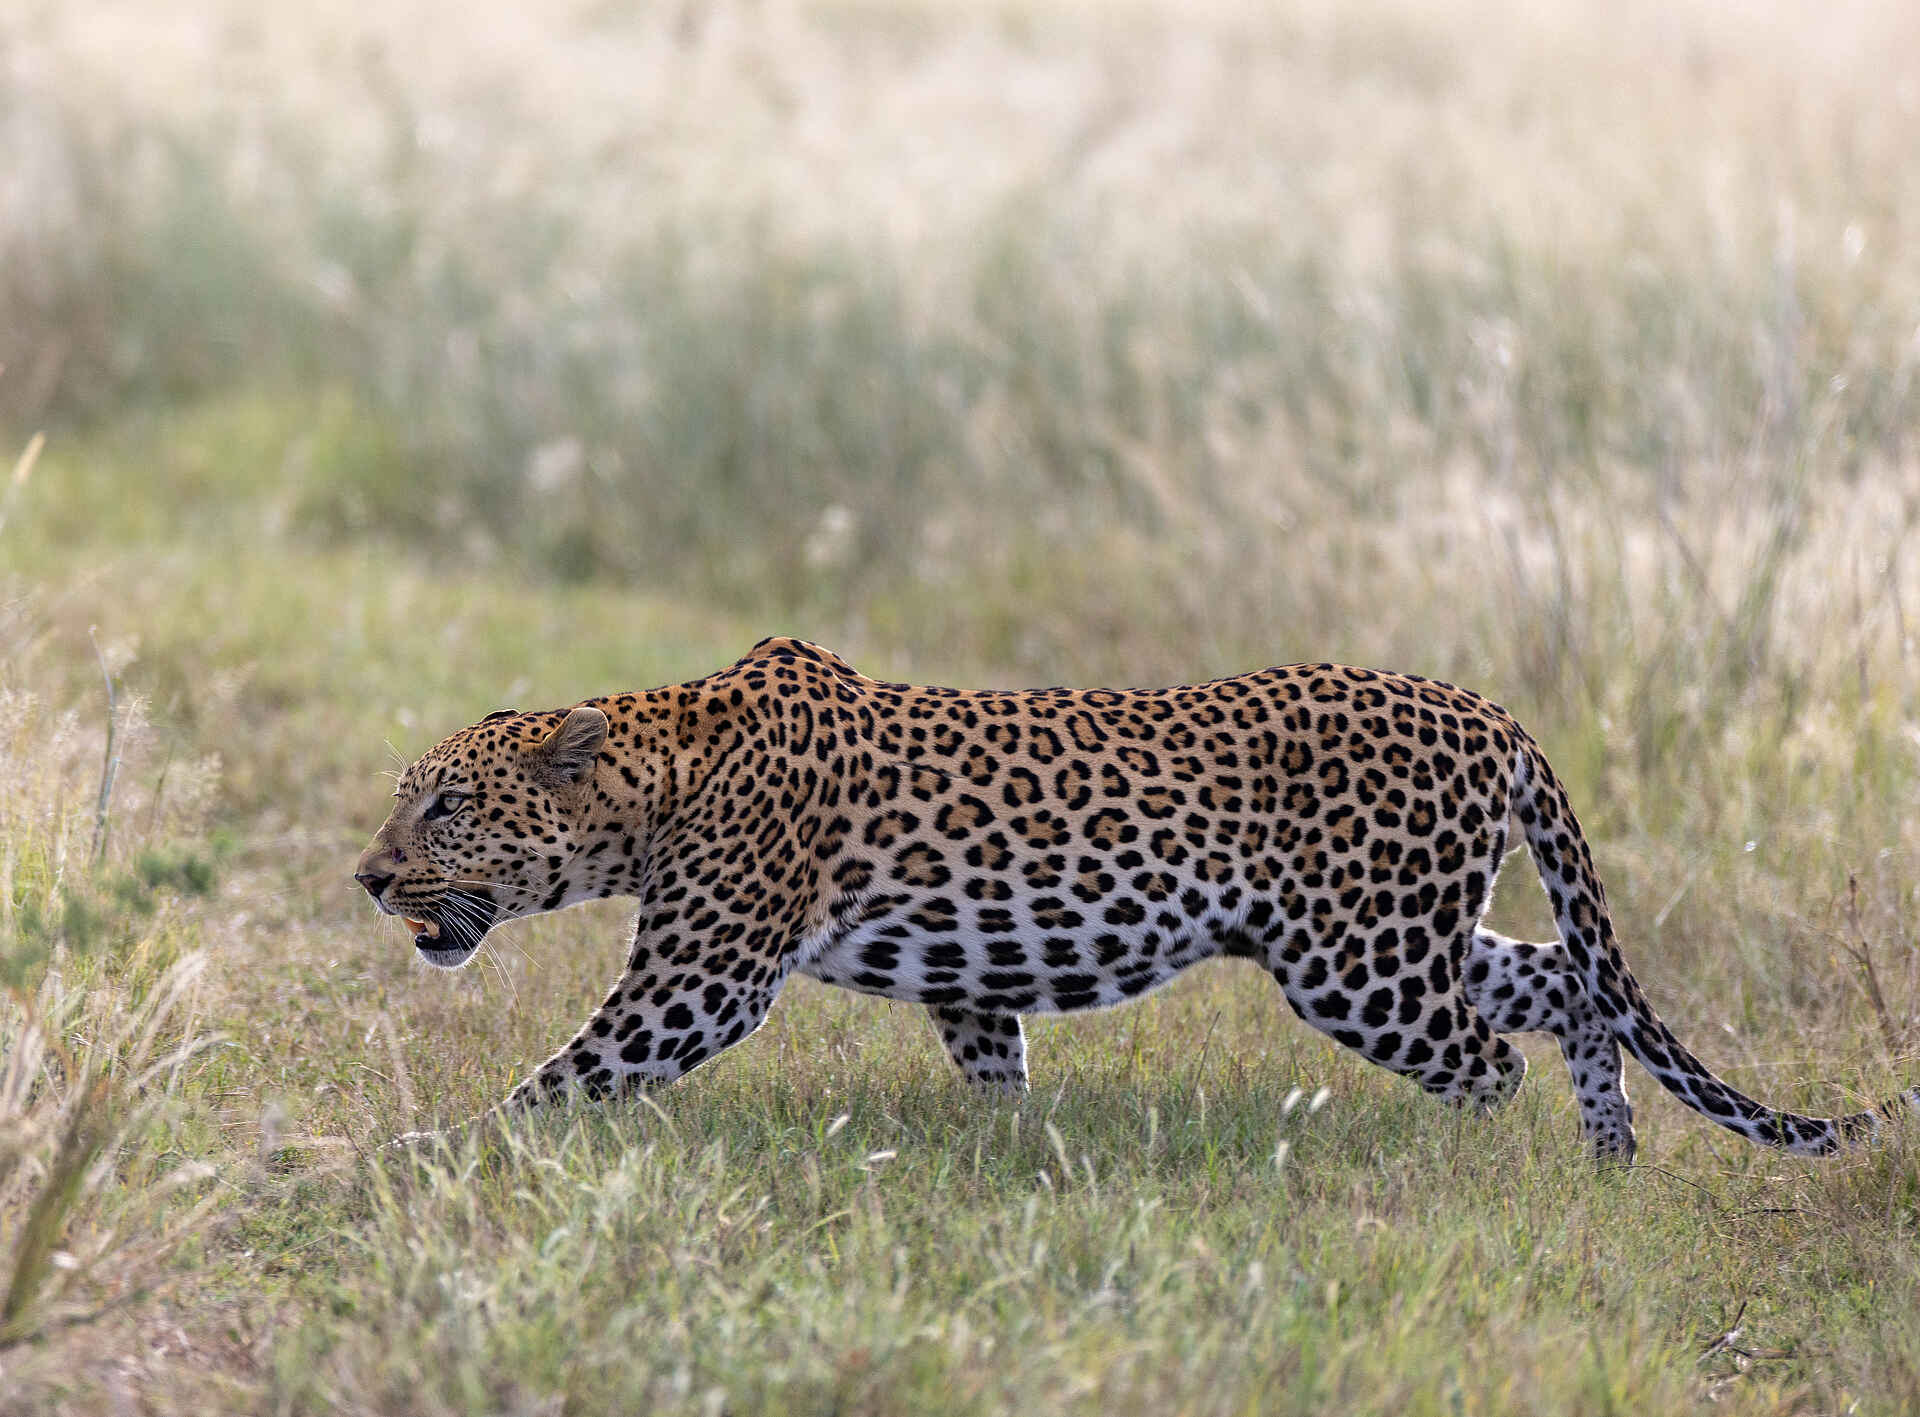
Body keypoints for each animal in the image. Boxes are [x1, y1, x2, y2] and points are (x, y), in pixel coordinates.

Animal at [354, 636, 1919, 1160]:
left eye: (443, 806)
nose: (368, 876)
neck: (657, 773)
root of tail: (1489, 708)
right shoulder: (968, 975)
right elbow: (996, 1071)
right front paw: (1013, 1164)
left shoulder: (698, 979)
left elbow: (558, 1078)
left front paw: (413, 1157)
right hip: (1393, 935)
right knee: (1561, 987)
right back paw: (1607, 1161)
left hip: (1363, 964)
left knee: (1491, 1059)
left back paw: (1465, 1174)